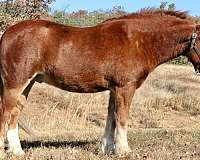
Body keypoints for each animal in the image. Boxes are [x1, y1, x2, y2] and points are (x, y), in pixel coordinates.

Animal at [0, 9, 200, 157]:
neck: (137, 40)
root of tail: (7, 33)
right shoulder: (125, 88)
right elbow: (122, 117)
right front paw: (124, 150)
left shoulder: (114, 89)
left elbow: (111, 118)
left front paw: (107, 148)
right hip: (14, 84)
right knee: (5, 113)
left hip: (28, 84)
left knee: (15, 114)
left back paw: (17, 151)